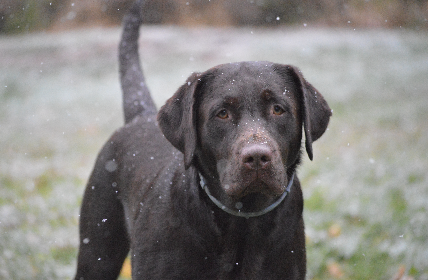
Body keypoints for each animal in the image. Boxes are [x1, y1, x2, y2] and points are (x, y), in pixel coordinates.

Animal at [75, 1, 332, 278]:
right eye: (222, 113)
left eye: (278, 109)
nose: (257, 156)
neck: (243, 221)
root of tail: (140, 115)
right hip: (97, 250)